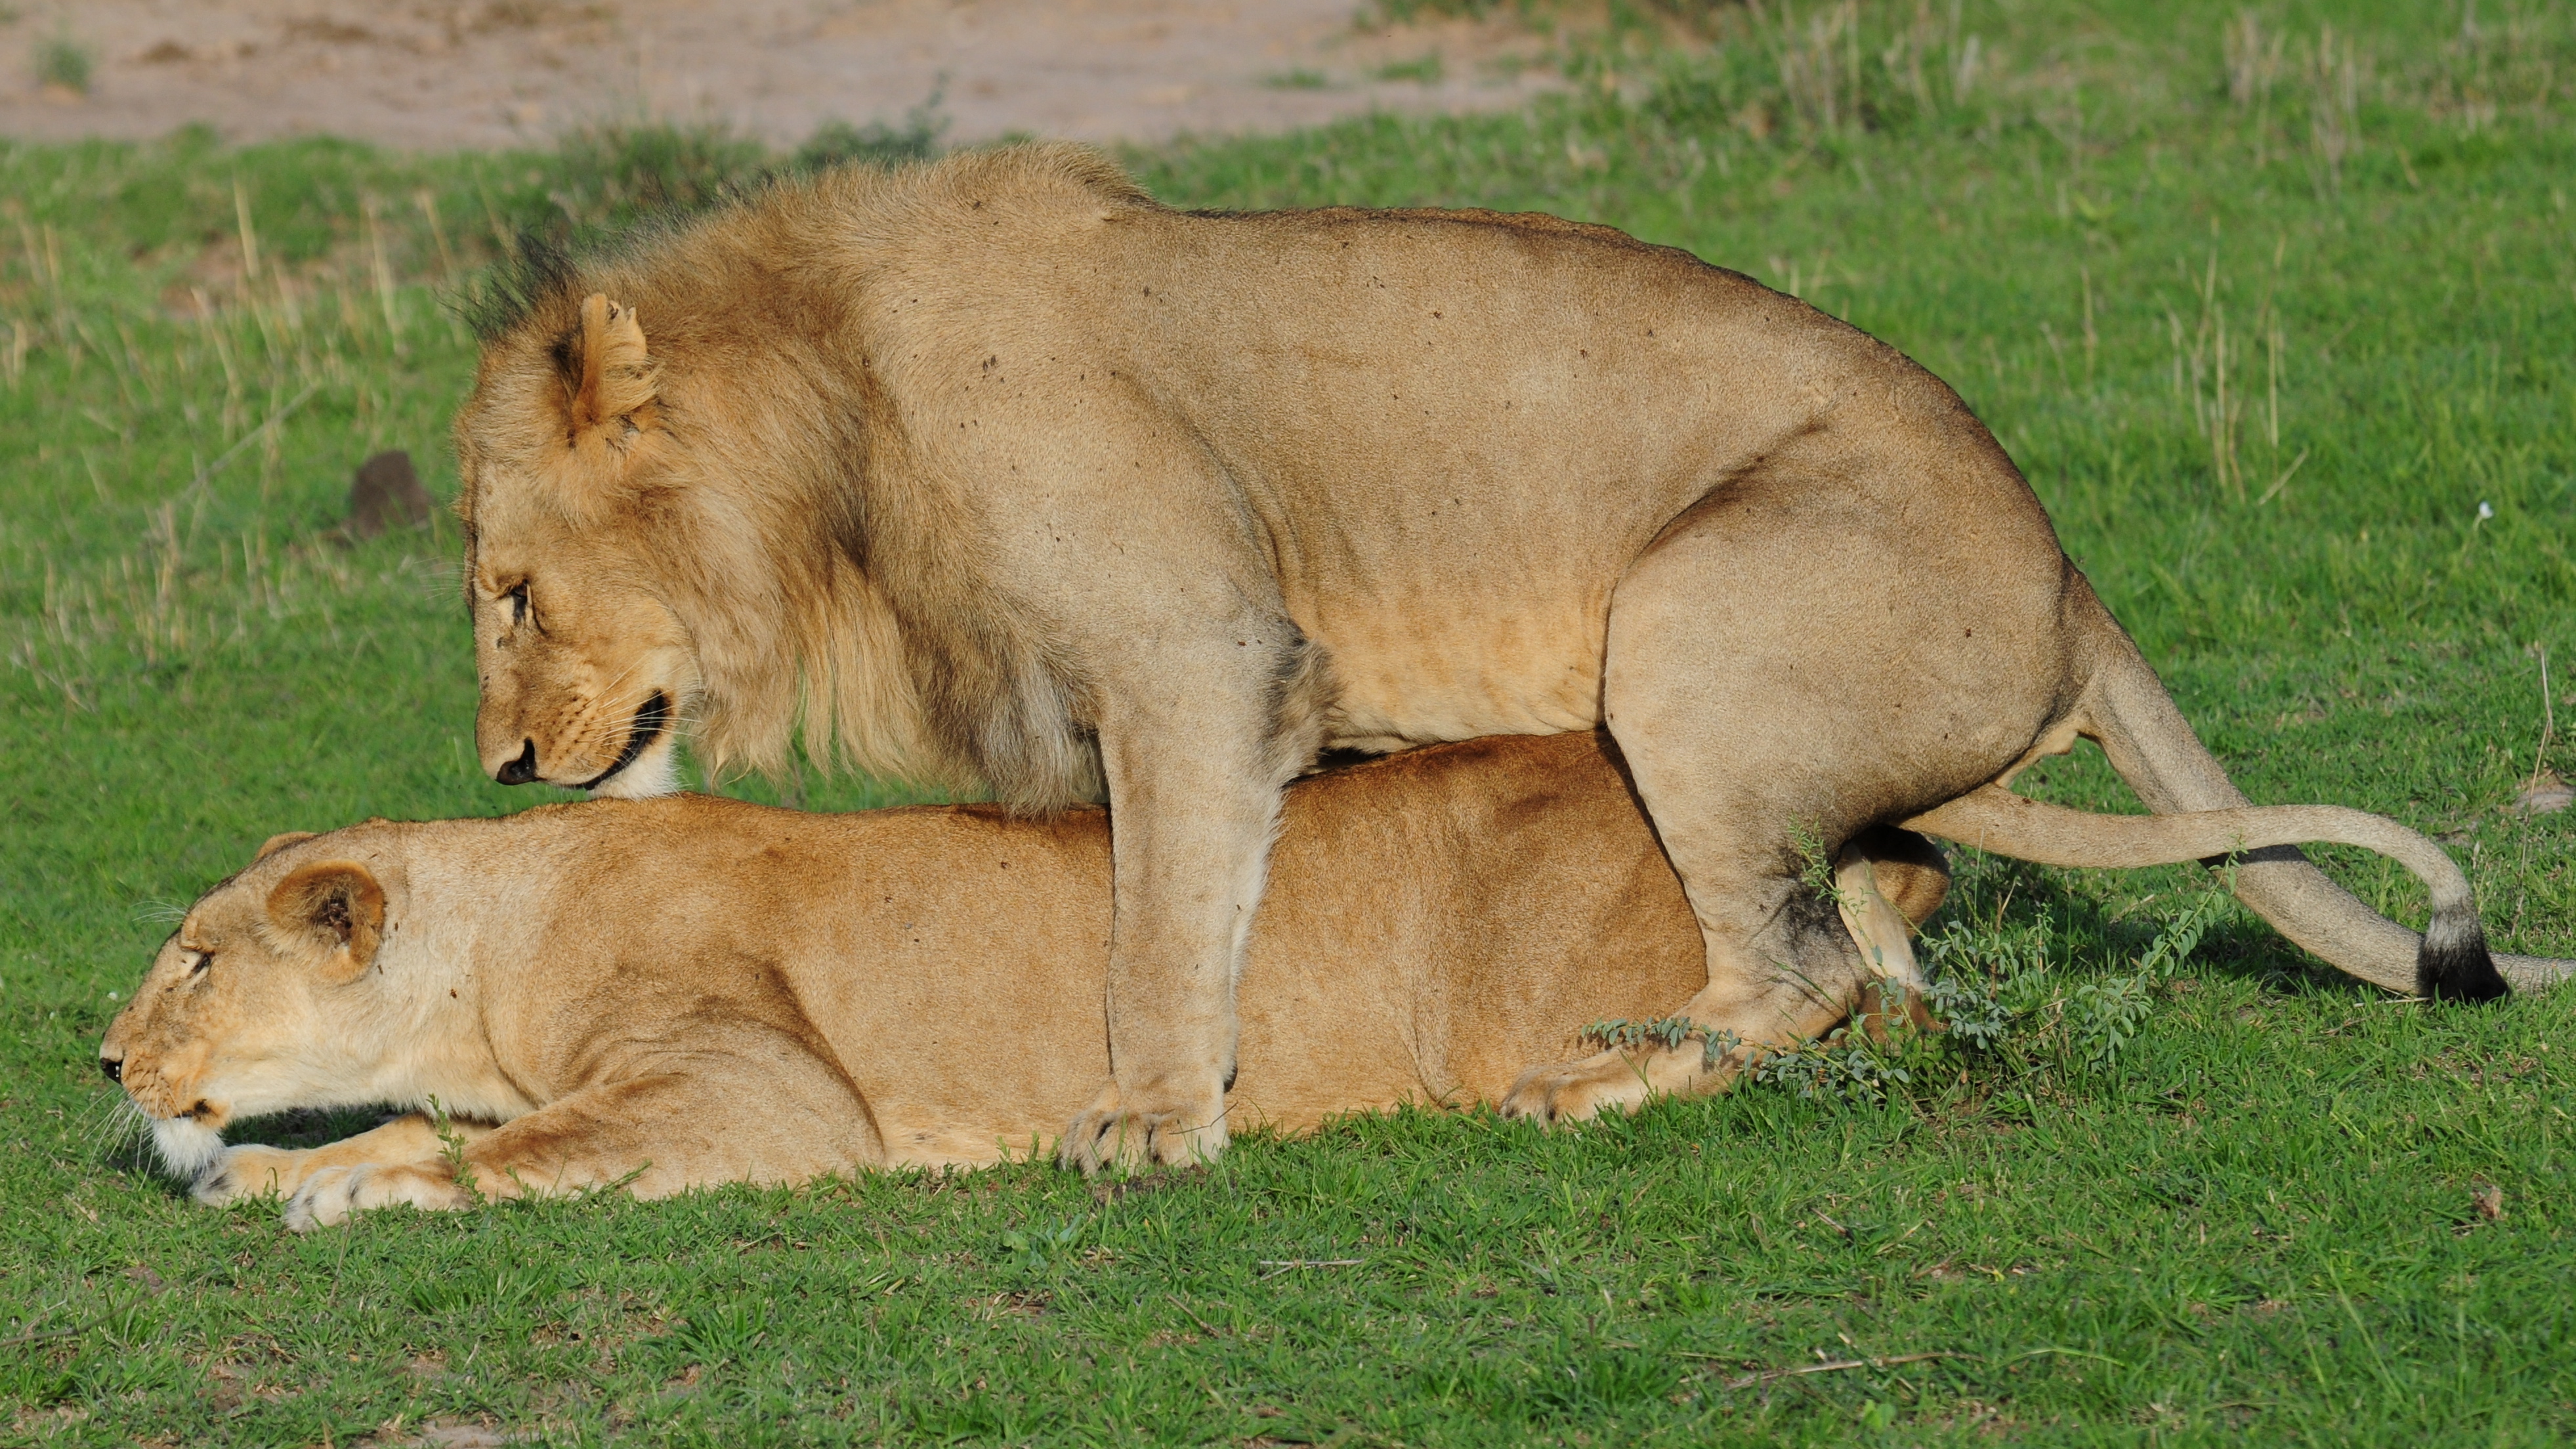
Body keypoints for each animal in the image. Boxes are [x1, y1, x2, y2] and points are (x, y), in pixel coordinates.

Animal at [458, 141, 2535, 1173]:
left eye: (503, 590)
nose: (498, 770)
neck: (830, 446)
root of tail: (2070, 570)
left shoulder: (1200, 651)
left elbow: (1159, 921)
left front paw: (1152, 1119)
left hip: (1683, 628)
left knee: (1795, 968)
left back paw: (1593, 1083)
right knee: (1874, 939)